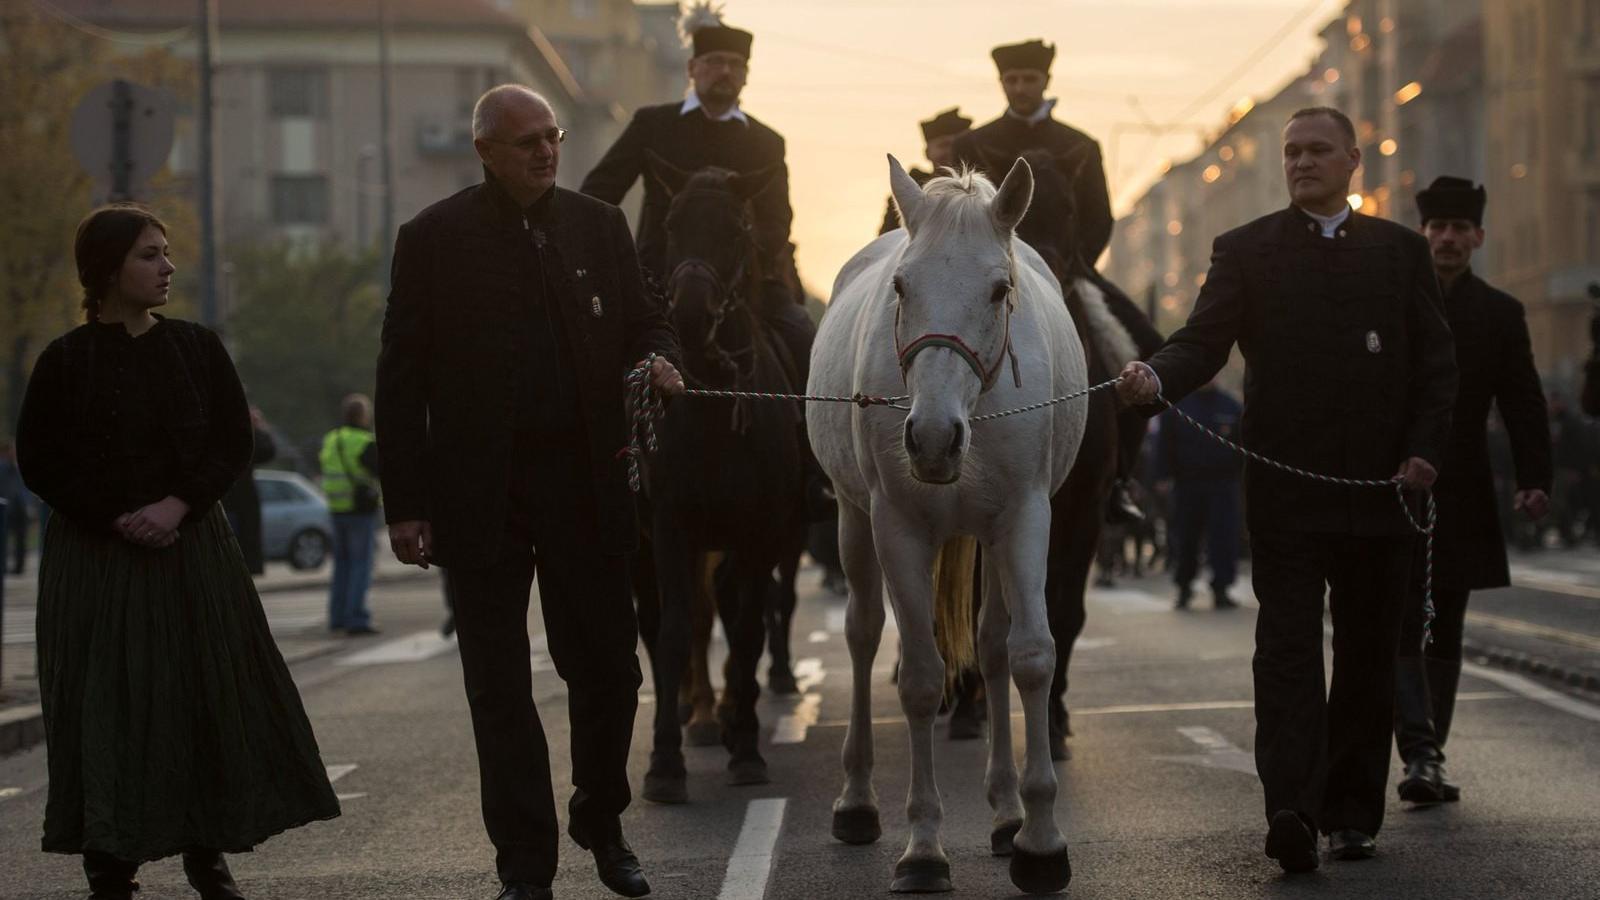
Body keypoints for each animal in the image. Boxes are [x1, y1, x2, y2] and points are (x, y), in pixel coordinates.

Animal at [624, 153, 800, 797]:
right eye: (673, 226)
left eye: (736, 232)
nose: (691, 316)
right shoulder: (672, 526)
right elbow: (677, 629)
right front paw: (664, 762)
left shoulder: (760, 531)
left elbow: (747, 629)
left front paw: (746, 745)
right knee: (665, 624)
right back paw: (694, 714)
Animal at [812, 156, 1088, 890]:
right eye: (901, 286)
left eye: (999, 290)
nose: (933, 440)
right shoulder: (898, 526)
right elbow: (919, 677)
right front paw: (924, 845)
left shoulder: (1024, 519)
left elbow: (1029, 656)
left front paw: (1039, 839)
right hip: (853, 518)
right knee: (862, 633)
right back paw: (855, 799)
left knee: (991, 648)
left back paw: (1004, 813)